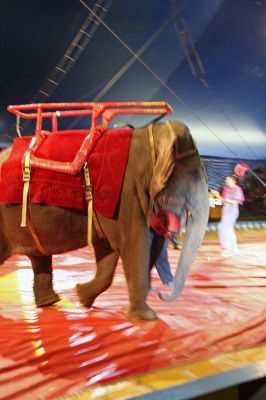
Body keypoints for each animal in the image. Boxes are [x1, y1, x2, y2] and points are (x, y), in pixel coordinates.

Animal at [0, 120, 209, 320]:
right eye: (194, 174)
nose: (160, 293)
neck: (150, 134)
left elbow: (108, 249)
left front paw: (82, 296)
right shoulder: (125, 194)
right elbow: (132, 244)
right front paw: (147, 317)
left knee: (40, 256)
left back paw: (51, 303)